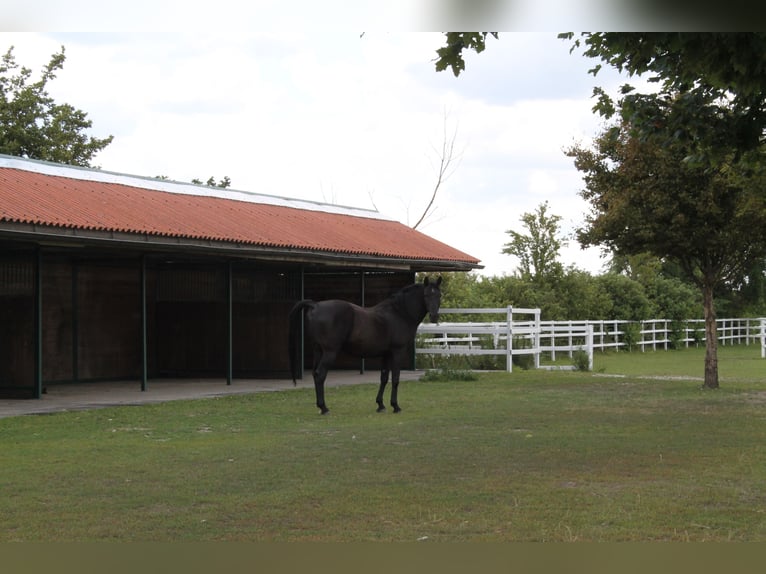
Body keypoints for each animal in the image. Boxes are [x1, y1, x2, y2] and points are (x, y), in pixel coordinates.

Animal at [288, 276, 442, 414]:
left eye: (439, 295)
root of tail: (316, 305)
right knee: (320, 375)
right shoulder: (397, 352)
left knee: (315, 374)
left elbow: (384, 378)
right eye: (426, 295)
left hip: (318, 350)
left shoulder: (386, 354)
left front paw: (380, 405)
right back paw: (324, 408)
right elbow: (395, 379)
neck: (399, 313)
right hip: (329, 352)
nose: (434, 316)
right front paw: (395, 406)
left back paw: (320, 407)